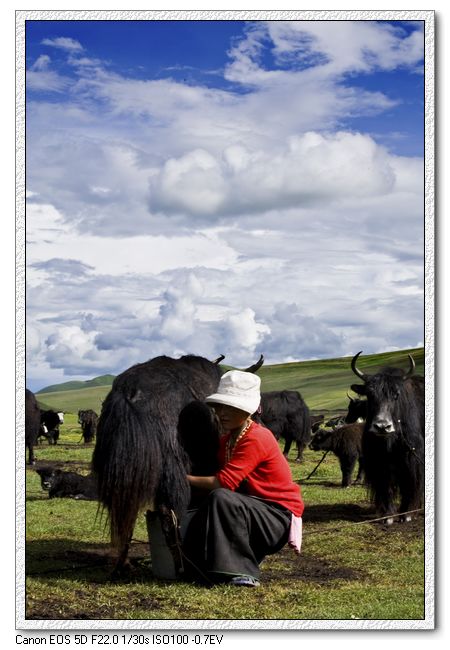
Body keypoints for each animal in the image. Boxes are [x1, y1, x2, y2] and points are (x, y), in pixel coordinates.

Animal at [350, 352, 424, 524]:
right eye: (370, 396)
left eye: (396, 395)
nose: (382, 426)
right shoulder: (379, 460)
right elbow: (385, 484)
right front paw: (388, 516)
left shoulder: (413, 458)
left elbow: (410, 483)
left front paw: (407, 514)